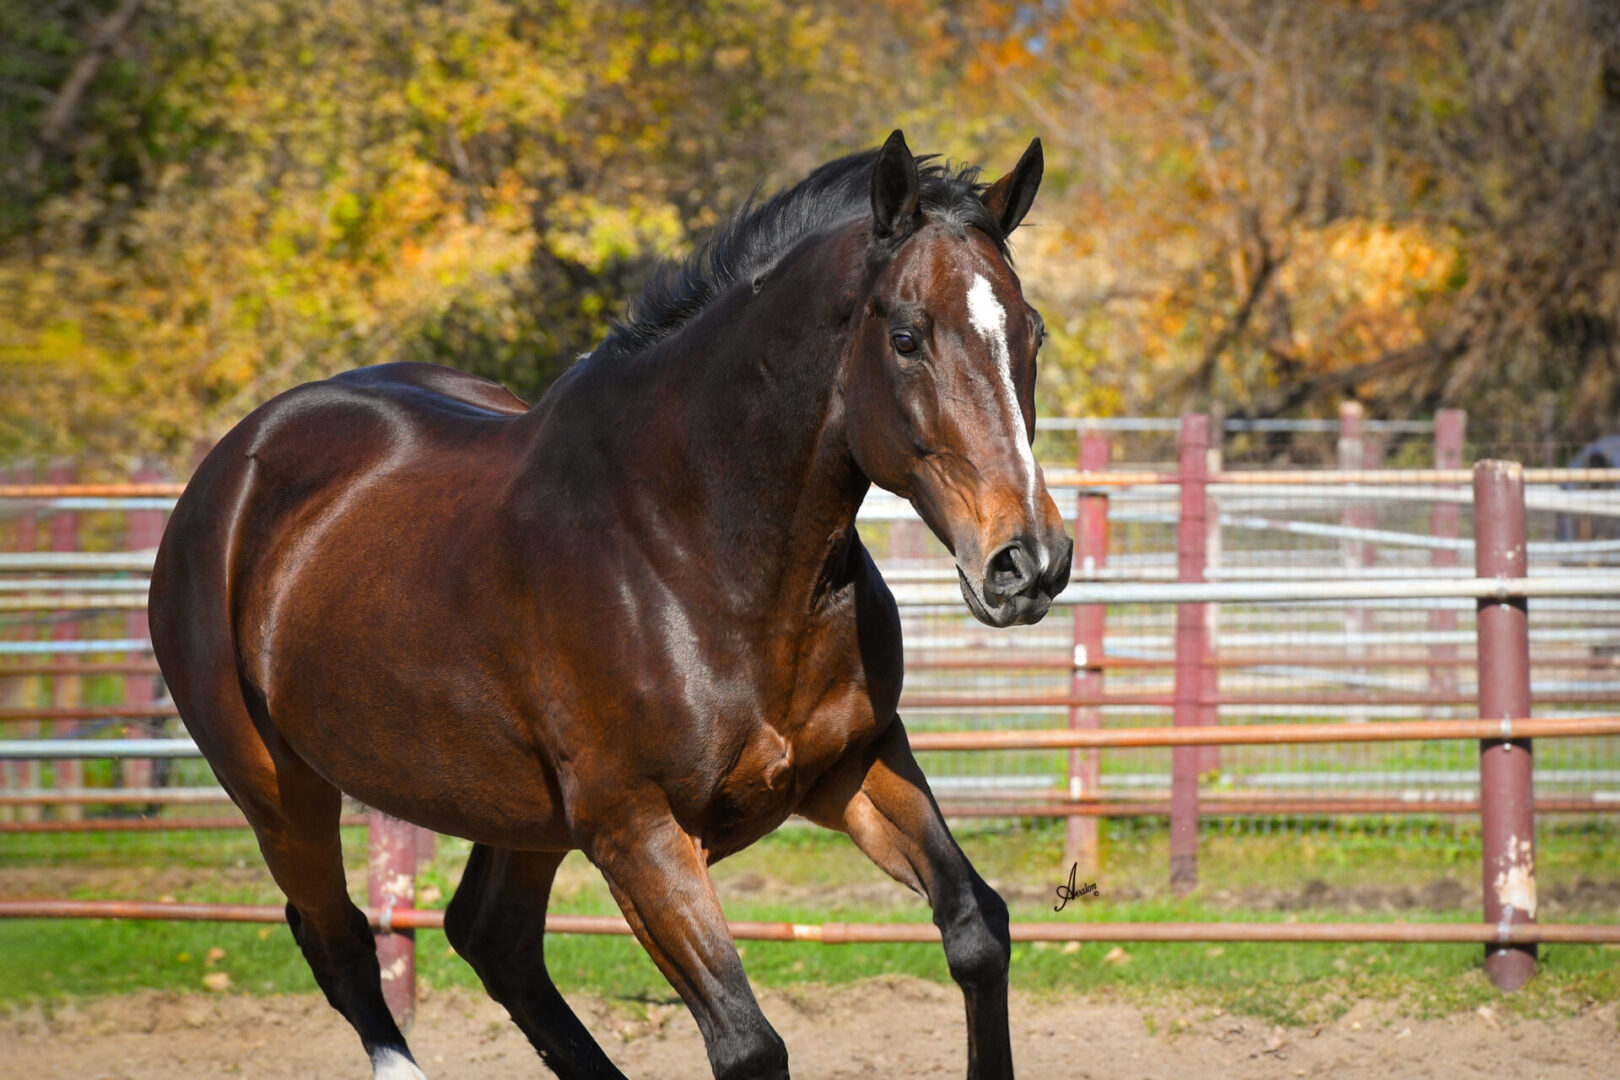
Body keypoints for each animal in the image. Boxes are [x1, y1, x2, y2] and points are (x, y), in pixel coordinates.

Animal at [145, 128, 1069, 1080]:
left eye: (1030, 331)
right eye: (907, 336)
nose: (1027, 561)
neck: (696, 548)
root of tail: (229, 470)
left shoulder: (852, 765)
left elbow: (976, 930)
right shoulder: (638, 833)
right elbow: (747, 1043)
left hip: (523, 819)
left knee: (493, 939)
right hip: (279, 794)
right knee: (341, 946)